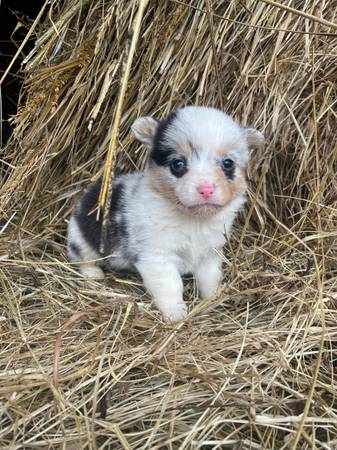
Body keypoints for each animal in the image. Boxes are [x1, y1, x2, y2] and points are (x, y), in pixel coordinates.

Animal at [67, 107, 264, 322]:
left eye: (228, 163)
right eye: (178, 164)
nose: (206, 190)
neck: (194, 220)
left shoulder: (210, 253)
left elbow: (210, 278)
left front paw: (212, 299)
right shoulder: (158, 257)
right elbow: (171, 286)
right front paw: (175, 313)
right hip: (81, 238)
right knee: (83, 257)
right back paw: (93, 273)